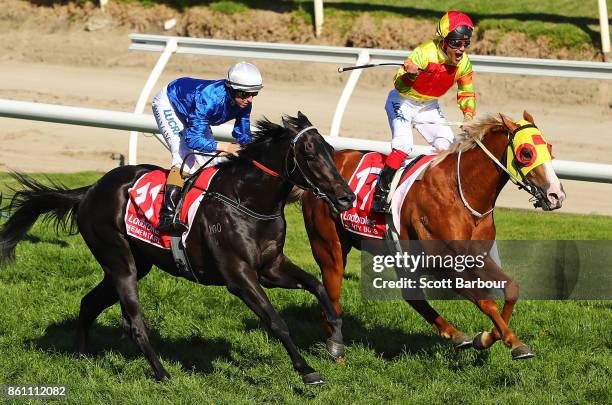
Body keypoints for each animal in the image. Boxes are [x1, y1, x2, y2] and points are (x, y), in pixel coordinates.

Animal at [0, 112, 356, 384]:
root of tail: (89, 191)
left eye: (329, 149)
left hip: (134, 265)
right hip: (120, 262)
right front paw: (307, 370)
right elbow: (275, 321)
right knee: (134, 323)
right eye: (308, 152)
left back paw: (80, 356)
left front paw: (335, 342)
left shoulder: (271, 266)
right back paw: (161, 373)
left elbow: (318, 286)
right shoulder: (239, 276)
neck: (247, 200)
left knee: (89, 303)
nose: (346, 197)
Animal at [302, 112, 564, 358]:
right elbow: (485, 300)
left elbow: (511, 288)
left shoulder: (476, 256)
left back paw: (456, 334)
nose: (556, 195)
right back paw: (336, 348)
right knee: (332, 300)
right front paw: (509, 341)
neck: (461, 191)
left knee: (412, 295)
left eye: (550, 148)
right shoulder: (443, 264)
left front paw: (492, 337)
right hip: (329, 247)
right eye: (526, 153)